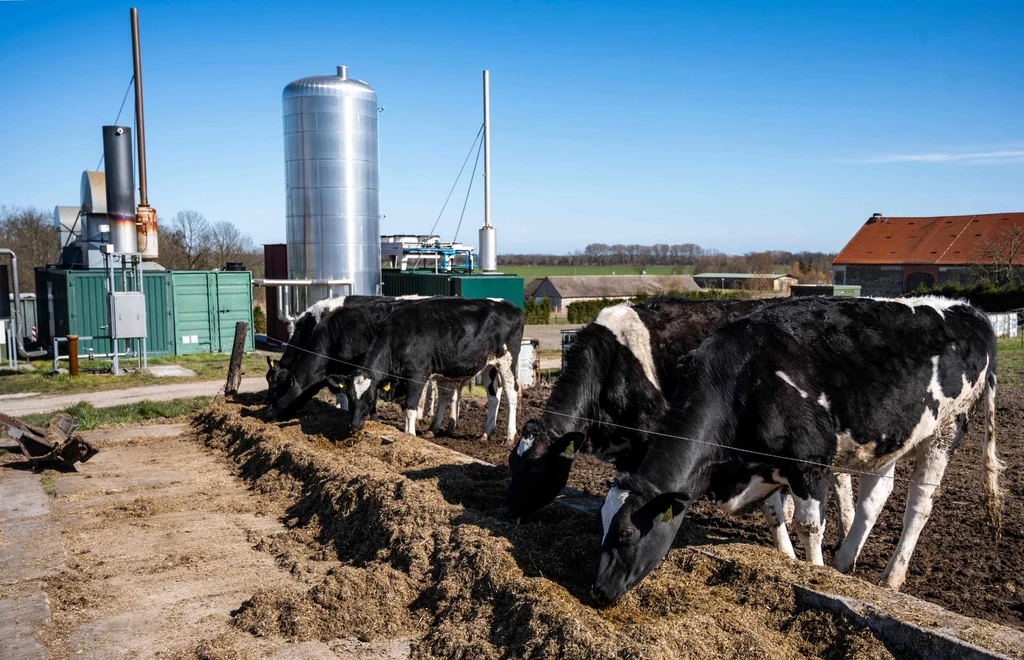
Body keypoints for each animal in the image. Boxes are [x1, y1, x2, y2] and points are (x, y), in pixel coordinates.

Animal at [348, 296, 524, 440]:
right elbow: (407, 408)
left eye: (370, 399)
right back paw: (486, 434)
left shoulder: (416, 376)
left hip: (507, 361)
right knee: (493, 396)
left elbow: (411, 408)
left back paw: (509, 435)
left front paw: (411, 435)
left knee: (511, 392)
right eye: (350, 396)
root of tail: (511, 306)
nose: (354, 424)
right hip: (488, 366)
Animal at [593, 296, 999, 605]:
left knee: (919, 505)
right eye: (601, 525)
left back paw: (891, 577)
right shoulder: (766, 467)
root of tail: (969, 310)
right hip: (888, 439)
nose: (598, 591)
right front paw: (792, 560)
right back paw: (845, 562)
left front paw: (813, 571)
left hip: (947, 430)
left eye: (626, 533)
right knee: (875, 497)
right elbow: (776, 514)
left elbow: (809, 525)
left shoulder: (809, 464)